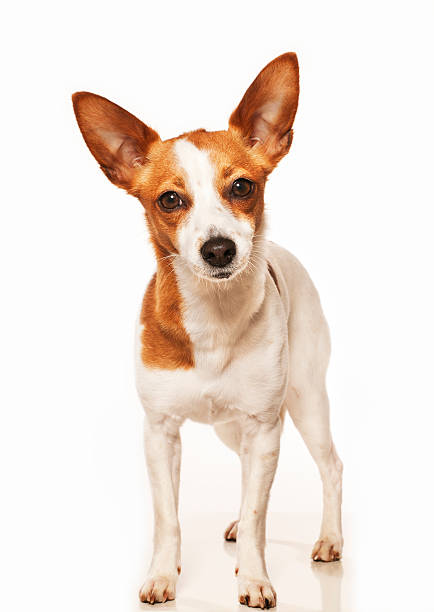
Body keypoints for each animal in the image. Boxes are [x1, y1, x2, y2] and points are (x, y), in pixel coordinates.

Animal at [72, 51, 342, 608]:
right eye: (169, 200)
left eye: (242, 187)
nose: (218, 249)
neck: (214, 321)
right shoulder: (160, 433)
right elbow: (167, 517)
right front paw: (162, 575)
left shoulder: (264, 426)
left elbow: (261, 513)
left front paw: (254, 578)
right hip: (231, 428)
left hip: (305, 400)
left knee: (331, 467)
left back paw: (329, 539)